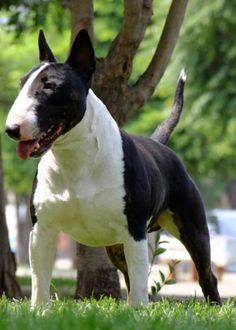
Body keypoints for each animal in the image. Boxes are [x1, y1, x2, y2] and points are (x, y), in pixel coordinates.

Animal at [4, 29, 220, 306]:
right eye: (22, 84)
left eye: (49, 86)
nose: (11, 129)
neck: (75, 157)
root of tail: (159, 144)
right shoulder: (41, 230)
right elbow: (39, 283)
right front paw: (39, 311)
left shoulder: (134, 230)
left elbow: (139, 284)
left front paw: (139, 311)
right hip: (118, 247)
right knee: (129, 275)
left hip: (191, 228)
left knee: (203, 275)